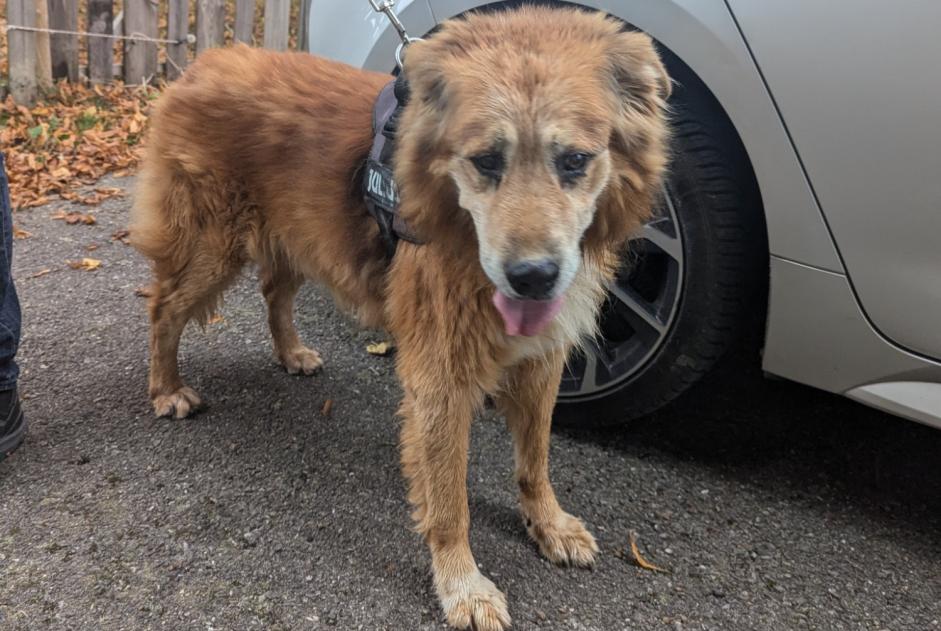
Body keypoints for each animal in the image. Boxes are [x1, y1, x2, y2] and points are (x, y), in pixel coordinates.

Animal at [132, 6, 668, 631]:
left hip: (300, 237)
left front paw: (548, 524)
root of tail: (202, 65)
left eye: (576, 161)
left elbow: (535, 459)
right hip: (209, 247)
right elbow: (449, 501)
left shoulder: (541, 362)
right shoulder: (442, 379)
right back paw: (166, 388)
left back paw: (291, 352)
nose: (532, 277)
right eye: (485, 161)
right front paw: (462, 584)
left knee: (273, 292)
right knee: (164, 308)